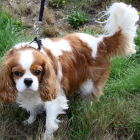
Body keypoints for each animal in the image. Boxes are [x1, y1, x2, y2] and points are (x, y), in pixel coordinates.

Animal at [0, 2, 138, 140]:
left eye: (38, 72)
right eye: (17, 73)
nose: (28, 81)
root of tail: (100, 42)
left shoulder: (53, 98)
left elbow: (49, 123)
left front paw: (46, 137)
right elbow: (33, 109)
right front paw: (30, 120)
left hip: (89, 83)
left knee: (91, 97)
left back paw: (86, 110)